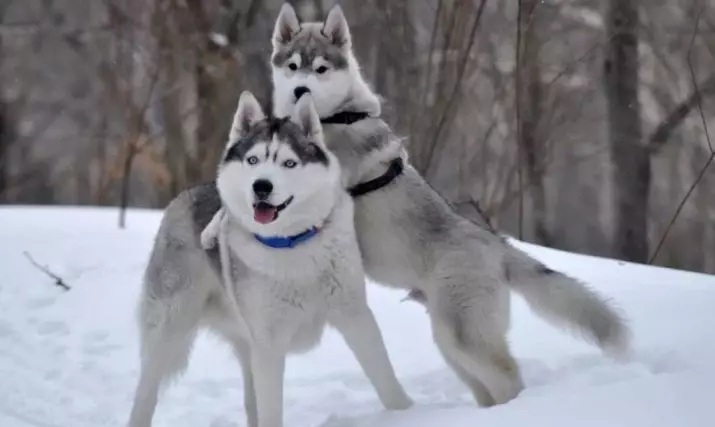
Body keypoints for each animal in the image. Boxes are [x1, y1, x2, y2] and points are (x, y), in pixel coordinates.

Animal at [126, 93, 412, 427]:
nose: (261, 186)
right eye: (253, 160)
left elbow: (385, 377)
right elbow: (271, 410)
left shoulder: (354, 314)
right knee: (146, 392)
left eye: (289, 163)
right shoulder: (269, 343)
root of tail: (185, 196)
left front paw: (407, 413)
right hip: (169, 329)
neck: (291, 246)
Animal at [258, 4, 632, 412]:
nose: (300, 90)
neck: (336, 115)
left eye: (321, 68)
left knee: (508, 378)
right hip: (451, 343)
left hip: (462, 336)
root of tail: (497, 245)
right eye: (293, 66)